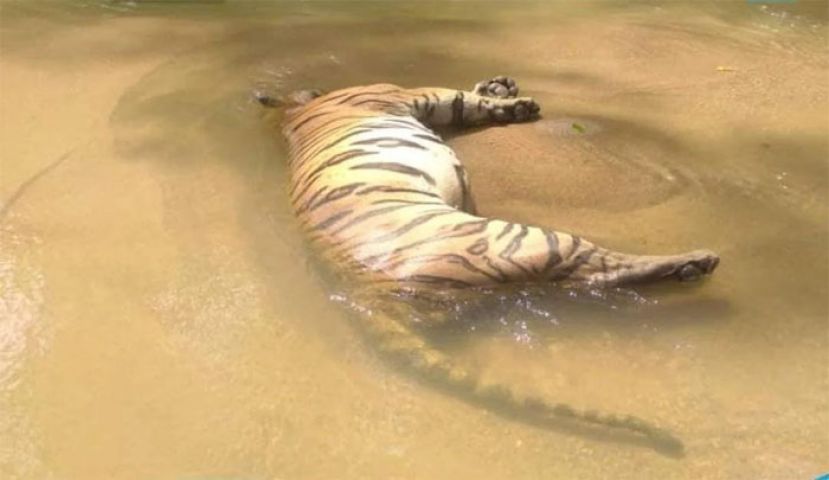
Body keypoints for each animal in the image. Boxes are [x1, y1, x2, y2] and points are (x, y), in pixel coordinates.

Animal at [257, 76, 719, 454]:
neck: (290, 112)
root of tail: (368, 296)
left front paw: (503, 90)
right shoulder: (407, 93)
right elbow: (460, 97)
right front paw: (513, 101)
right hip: (524, 239)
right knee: (604, 268)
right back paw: (696, 262)